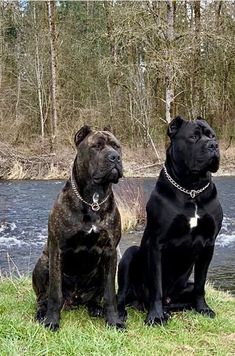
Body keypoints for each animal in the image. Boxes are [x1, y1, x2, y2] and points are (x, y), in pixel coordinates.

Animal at [33, 126, 125, 330]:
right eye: (96, 146)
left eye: (117, 146)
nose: (115, 157)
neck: (93, 199)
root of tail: (75, 299)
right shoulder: (56, 249)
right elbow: (55, 293)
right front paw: (52, 321)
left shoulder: (110, 252)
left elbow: (110, 294)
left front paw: (114, 321)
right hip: (43, 263)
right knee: (42, 298)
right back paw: (42, 313)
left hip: (99, 271)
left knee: (95, 297)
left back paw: (96, 308)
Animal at [118, 116, 223, 326]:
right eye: (193, 137)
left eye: (212, 135)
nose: (214, 145)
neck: (191, 189)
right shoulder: (157, 243)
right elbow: (156, 286)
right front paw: (155, 316)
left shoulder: (209, 244)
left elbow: (201, 284)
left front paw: (203, 309)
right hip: (129, 256)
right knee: (122, 294)